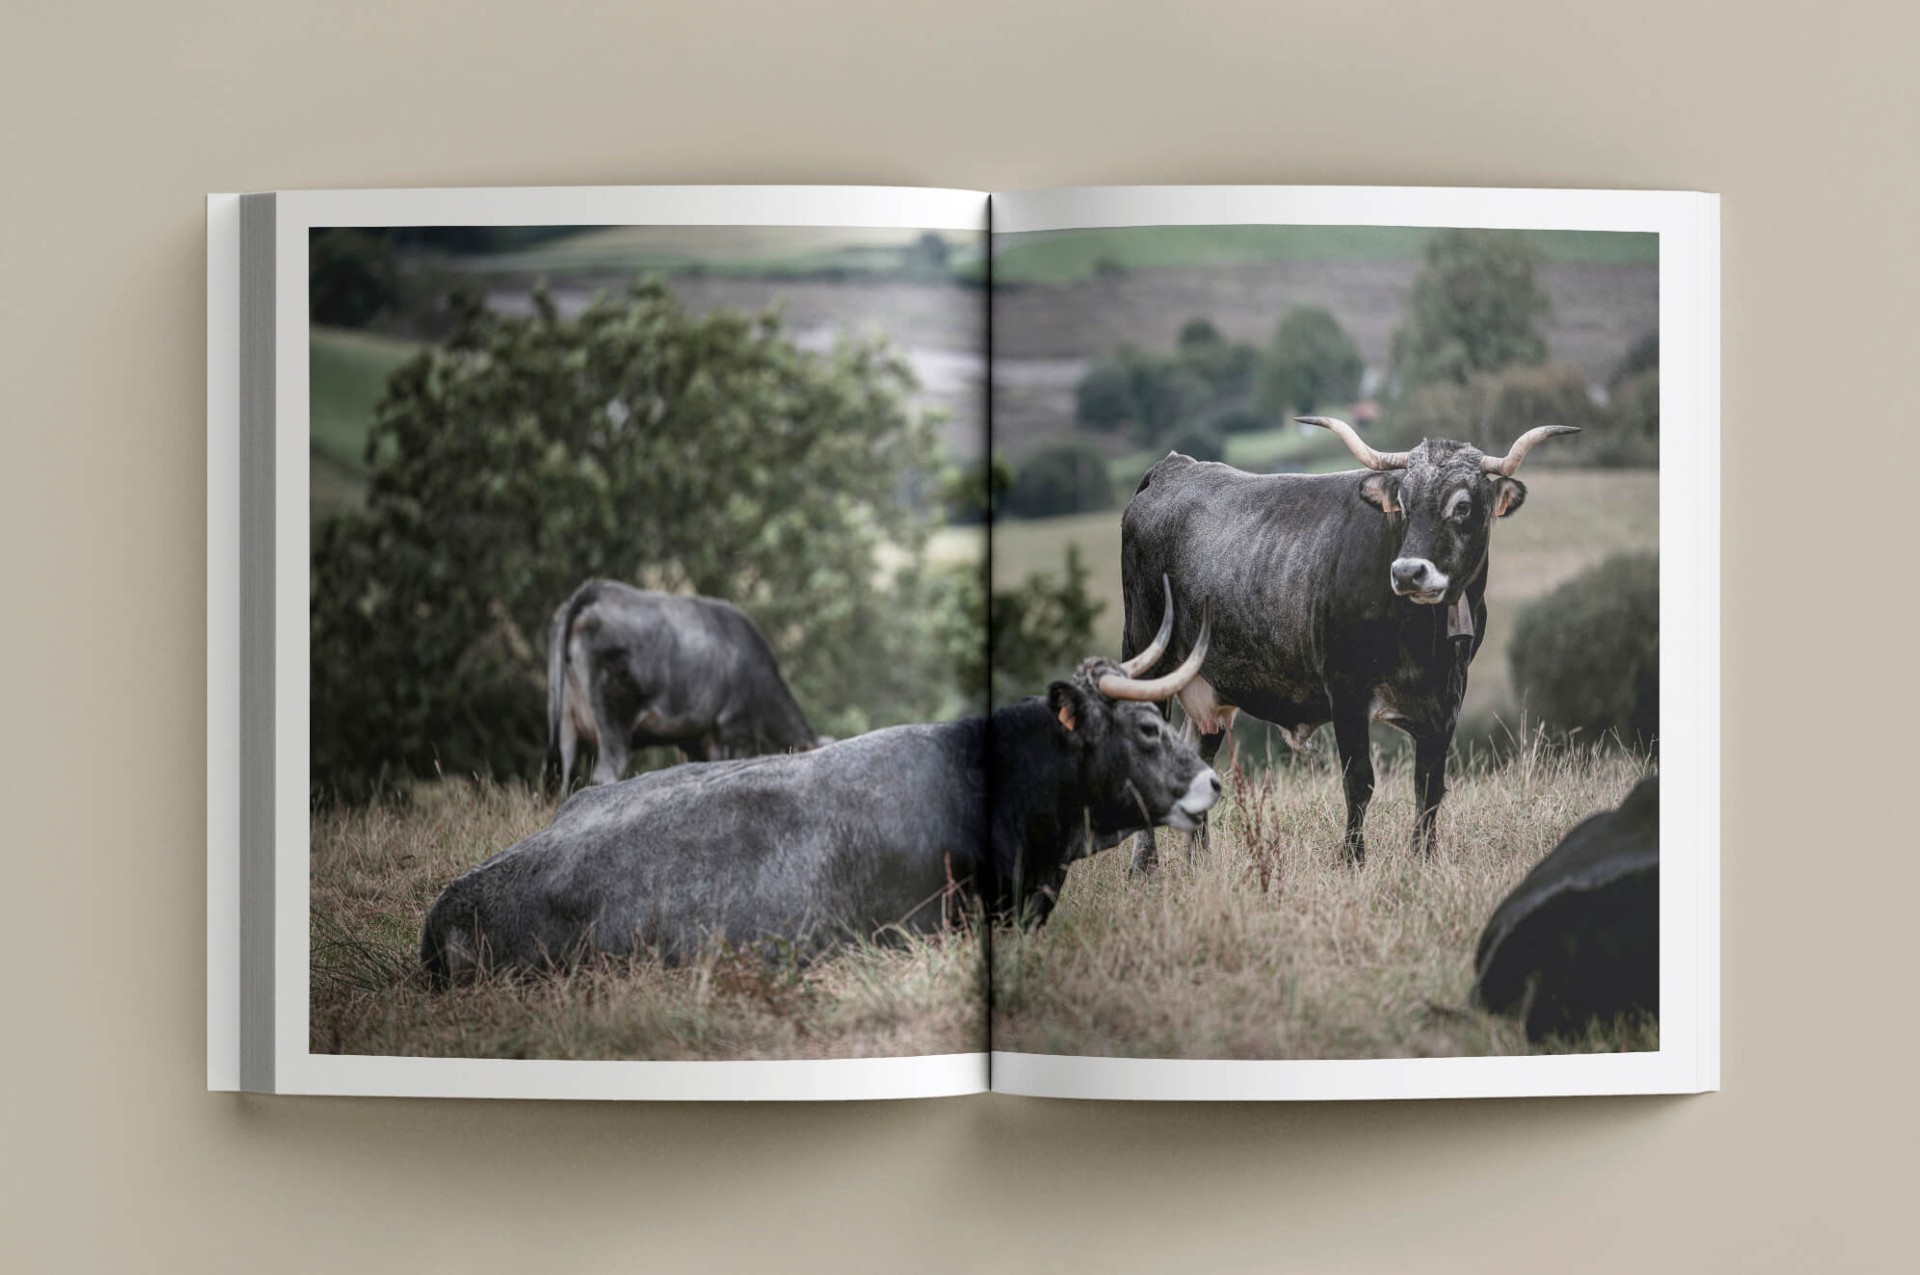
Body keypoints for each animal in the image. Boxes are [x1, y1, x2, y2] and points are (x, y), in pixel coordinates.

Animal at [549, 583, 833, 791]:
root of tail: (596, 589)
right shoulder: (733, 728)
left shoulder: (692, 739)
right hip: (614, 717)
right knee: (604, 773)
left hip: (565, 721)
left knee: (562, 779)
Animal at [1121, 418, 1582, 867]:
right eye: (1404, 505)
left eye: (1463, 506)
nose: (1409, 572)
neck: (1424, 640)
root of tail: (1174, 467)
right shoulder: (1346, 691)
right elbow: (1359, 781)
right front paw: (1352, 859)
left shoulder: (1447, 701)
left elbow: (1429, 788)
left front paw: (1423, 860)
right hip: (1147, 656)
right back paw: (1145, 865)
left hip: (1207, 688)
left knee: (1198, 758)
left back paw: (1198, 864)